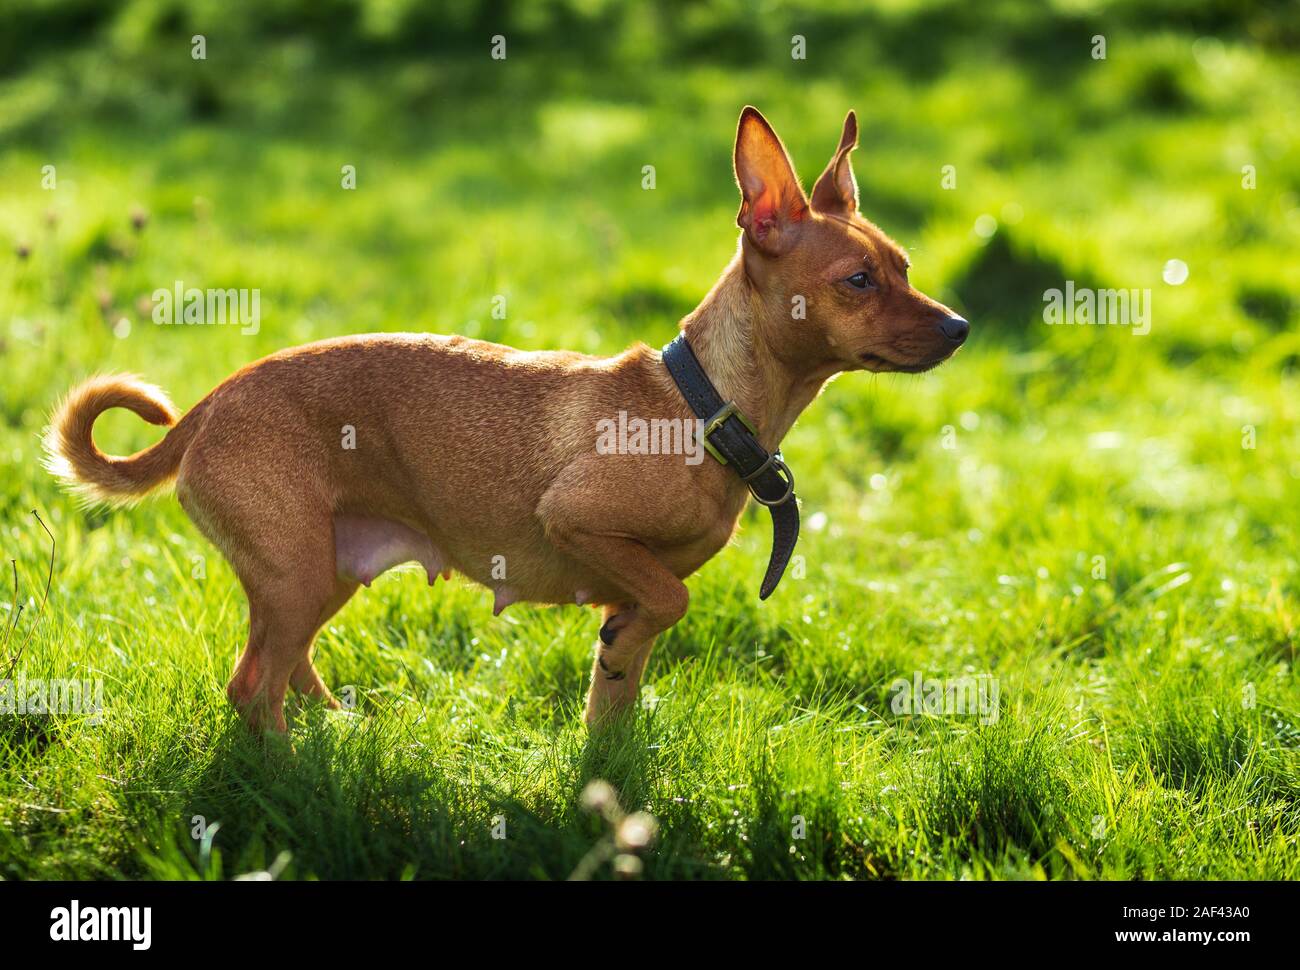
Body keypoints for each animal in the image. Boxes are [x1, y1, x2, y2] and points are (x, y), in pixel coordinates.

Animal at [43, 105, 967, 728]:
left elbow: (619, 687)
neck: (701, 402)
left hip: (316, 573)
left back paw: (337, 734)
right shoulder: (578, 521)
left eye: (905, 266)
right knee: (252, 687)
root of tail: (209, 404)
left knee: (286, 665)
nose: (960, 328)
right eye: (858, 282)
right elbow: (667, 596)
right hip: (295, 570)